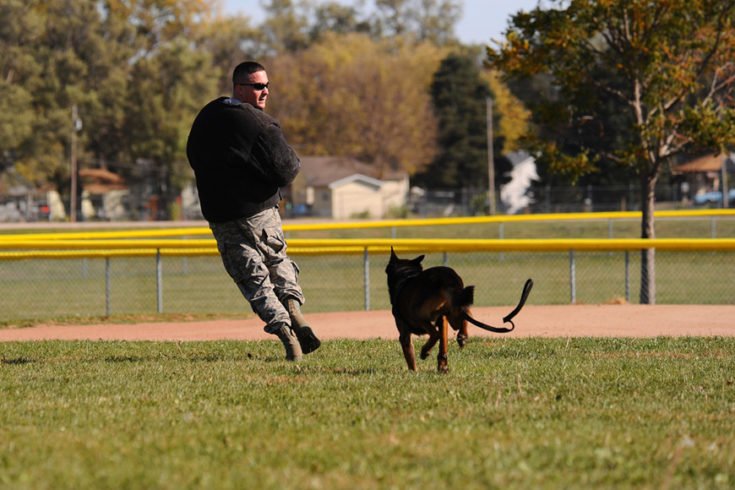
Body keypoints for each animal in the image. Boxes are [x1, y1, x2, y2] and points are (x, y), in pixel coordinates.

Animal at [386, 249, 536, 372]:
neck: (406, 276)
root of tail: (448, 280)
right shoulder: (443, 321)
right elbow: (443, 344)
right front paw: (441, 364)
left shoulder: (405, 333)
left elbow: (410, 357)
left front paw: (414, 372)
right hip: (454, 312)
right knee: (465, 314)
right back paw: (461, 338)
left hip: (421, 314)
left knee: (435, 333)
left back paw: (425, 351)